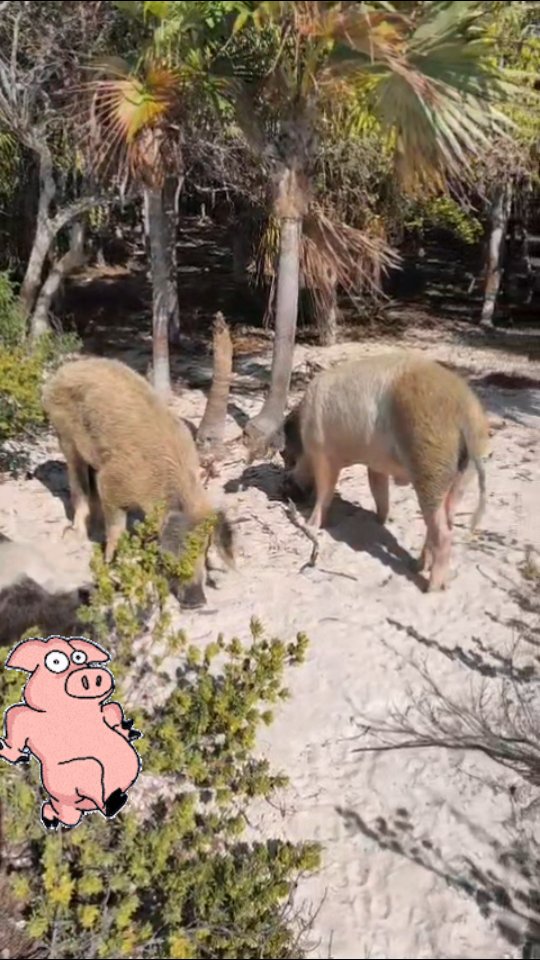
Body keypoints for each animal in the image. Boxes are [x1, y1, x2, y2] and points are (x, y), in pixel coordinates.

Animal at [0, 635, 142, 830]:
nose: (92, 676)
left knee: (69, 816)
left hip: (70, 804)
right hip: (72, 781)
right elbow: (14, 723)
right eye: (56, 662)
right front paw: (11, 753)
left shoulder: (104, 711)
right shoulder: (24, 719)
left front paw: (127, 730)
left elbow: (113, 708)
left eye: (79, 657)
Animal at [42, 357, 234, 609]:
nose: (198, 601)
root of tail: (63, 370)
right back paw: (75, 536)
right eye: (178, 549)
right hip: (65, 436)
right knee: (77, 485)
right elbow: (116, 528)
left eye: (203, 548)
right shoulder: (111, 483)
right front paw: (112, 563)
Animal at [280, 351, 489, 592]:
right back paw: (417, 566)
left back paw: (431, 588)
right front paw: (379, 520)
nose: (283, 486)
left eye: (288, 458)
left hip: (430, 464)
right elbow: (379, 491)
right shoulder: (375, 464)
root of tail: (464, 414)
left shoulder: (322, 454)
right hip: (461, 477)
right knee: (442, 522)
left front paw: (311, 524)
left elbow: (325, 491)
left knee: (443, 533)